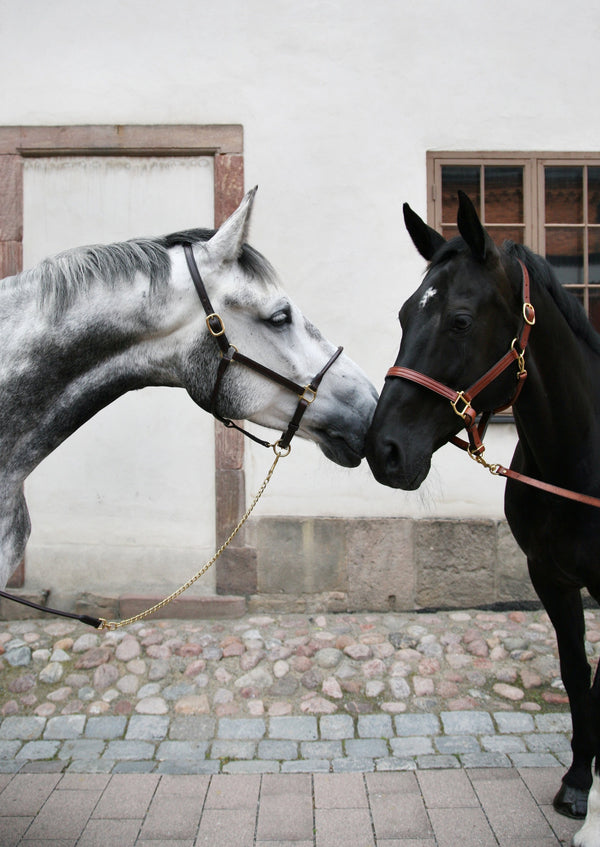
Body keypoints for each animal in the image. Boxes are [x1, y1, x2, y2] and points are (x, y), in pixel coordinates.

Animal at [364, 194, 600, 847]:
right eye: (401, 316)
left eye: (461, 321)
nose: (383, 449)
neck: (578, 461)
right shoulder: (551, 578)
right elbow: (577, 674)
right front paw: (579, 782)